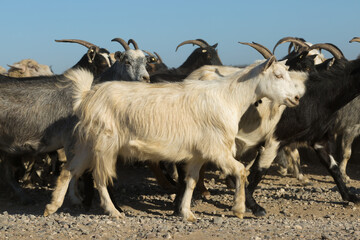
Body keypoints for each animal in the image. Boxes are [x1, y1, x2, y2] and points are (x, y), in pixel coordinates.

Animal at [44, 56, 304, 221]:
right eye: (278, 75)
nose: (296, 98)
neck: (228, 98)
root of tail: (88, 95)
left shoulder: (198, 153)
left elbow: (191, 181)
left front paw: (186, 213)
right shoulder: (217, 149)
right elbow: (241, 171)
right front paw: (239, 209)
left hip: (88, 143)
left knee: (69, 170)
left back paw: (53, 206)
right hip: (104, 143)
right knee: (99, 178)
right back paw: (113, 211)